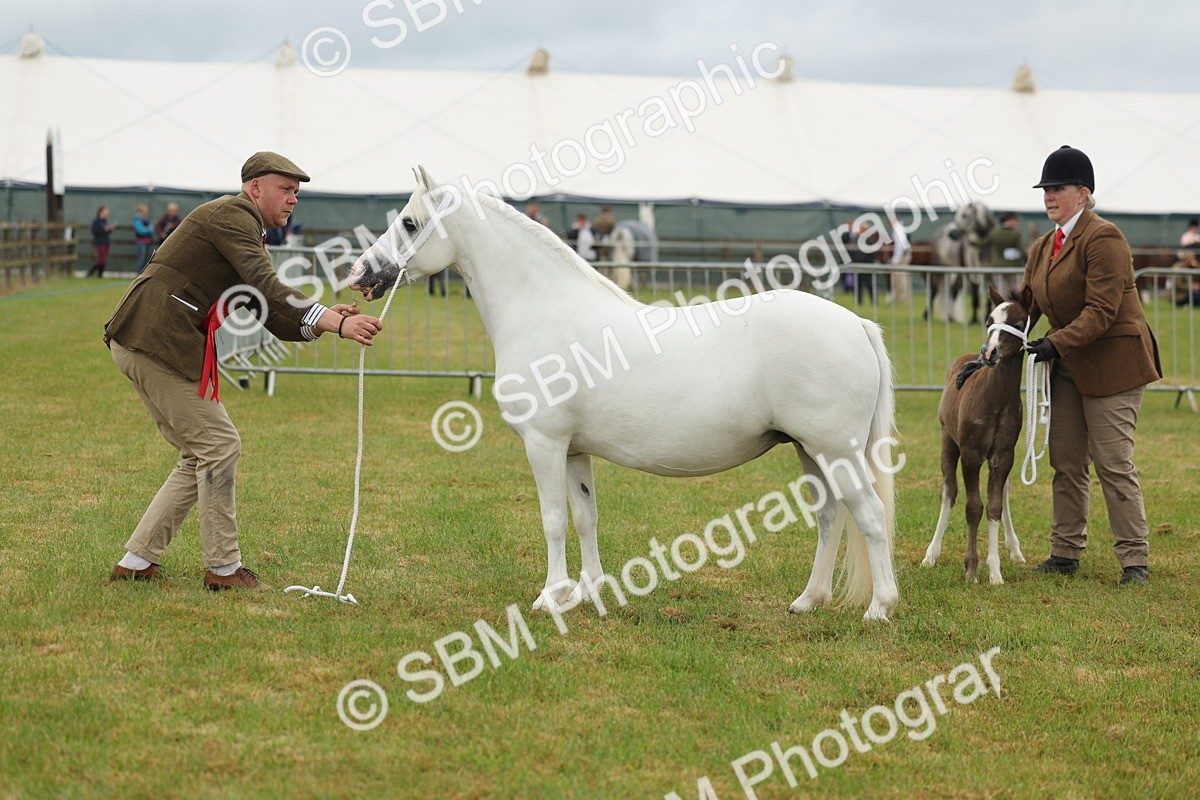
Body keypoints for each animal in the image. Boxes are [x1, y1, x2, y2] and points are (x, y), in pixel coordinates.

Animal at [347, 167, 900, 621]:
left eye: (410, 223)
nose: (359, 273)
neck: (545, 310)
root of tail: (856, 324)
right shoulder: (574, 450)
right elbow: (585, 518)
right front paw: (589, 591)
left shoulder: (544, 443)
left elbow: (552, 520)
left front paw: (550, 597)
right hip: (810, 450)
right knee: (830, 517)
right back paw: (808, 601)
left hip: (836, 449)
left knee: (870, 516)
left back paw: (879, 608)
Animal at [920, 285, 1036, 584]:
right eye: (989, 321)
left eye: (1017, 324)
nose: (989, 352)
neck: (996, 400)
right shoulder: (971, 454)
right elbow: (973, 508)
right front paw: (971, 569)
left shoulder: (1003, 456)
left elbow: (994, 507)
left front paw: (994, 571)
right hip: (948, 442)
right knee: (948, 492)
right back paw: (931, 554)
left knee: (1003, 493)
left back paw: (1014, 549)